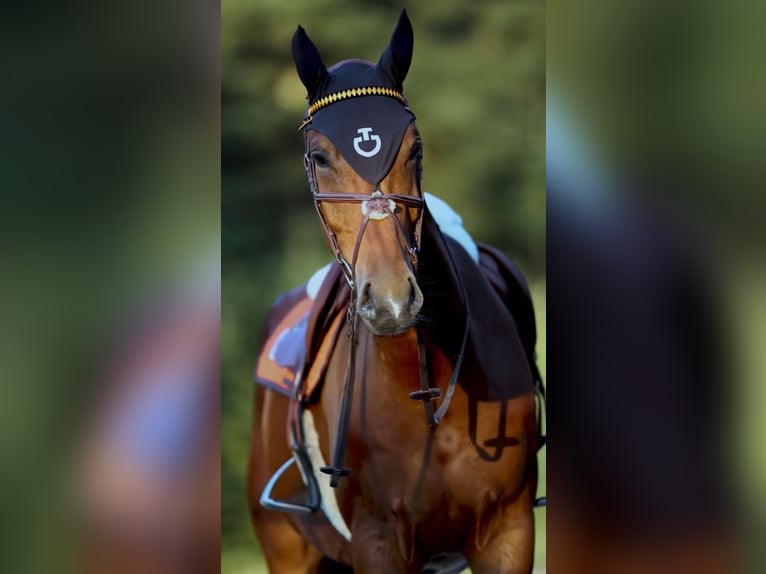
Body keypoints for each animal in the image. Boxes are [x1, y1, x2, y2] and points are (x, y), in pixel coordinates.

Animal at [248, 11, 542, 574]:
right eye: (319, 157)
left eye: (416, 150)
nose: (389, 300)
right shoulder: (376, 540)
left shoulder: (509, 531)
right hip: (288, 549)